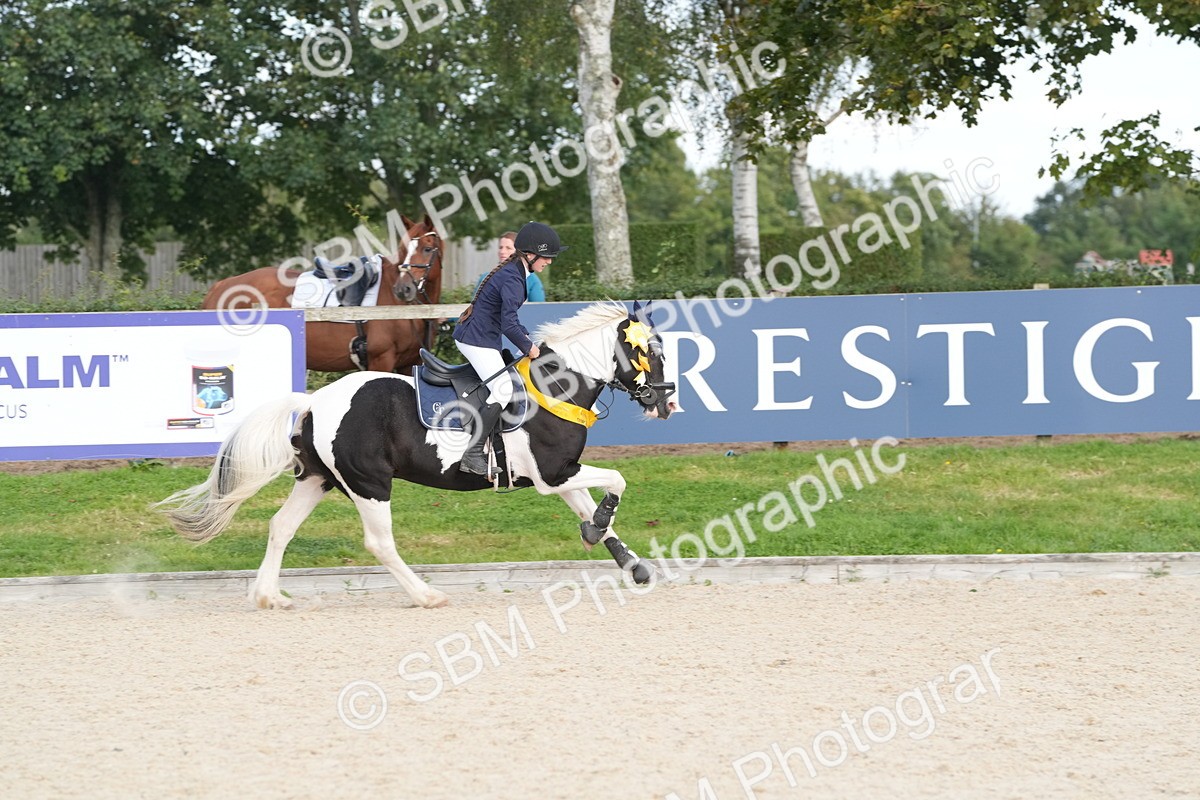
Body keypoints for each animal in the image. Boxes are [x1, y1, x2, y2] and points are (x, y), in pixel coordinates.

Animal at [156, 301, 678, 610]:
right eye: (650, 352)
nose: (665, 403)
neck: (555, 385)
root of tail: (313, 401)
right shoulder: (554, 474)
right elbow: (615, 483)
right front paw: (610, 540)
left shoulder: (559, 475)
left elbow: (595, 513)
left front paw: (631, 564)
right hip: (369, 484)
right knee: (379, 544)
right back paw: (426, 595)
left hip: (319, 479)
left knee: (280, 527)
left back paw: (269, 596)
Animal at [200, 214, 444, 373]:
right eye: (403, 250)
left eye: (427, 249)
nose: (403, 289)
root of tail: (221, 285)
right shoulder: (381, 360)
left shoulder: (408, 364)